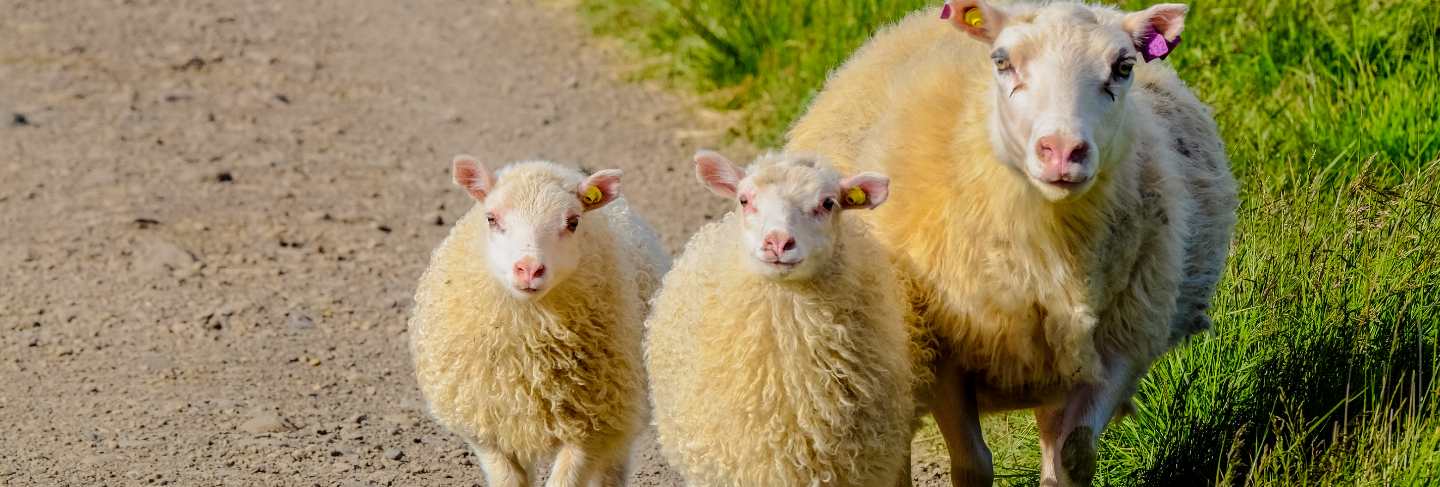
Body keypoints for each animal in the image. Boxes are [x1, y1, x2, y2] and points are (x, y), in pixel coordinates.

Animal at [411, 156, 668, 487]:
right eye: (491, 218)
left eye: (573, 222)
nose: (529, 269)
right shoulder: (488, 430)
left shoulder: (591, 429)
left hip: (621, 414)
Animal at [783, 1, 1244, 484]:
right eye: (1002, 62)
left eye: (1123, 66)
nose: (1062, 151)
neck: (1051, 241)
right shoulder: (941, 351)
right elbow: (973, 464)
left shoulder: (1122, 345)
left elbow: (1076, 455)